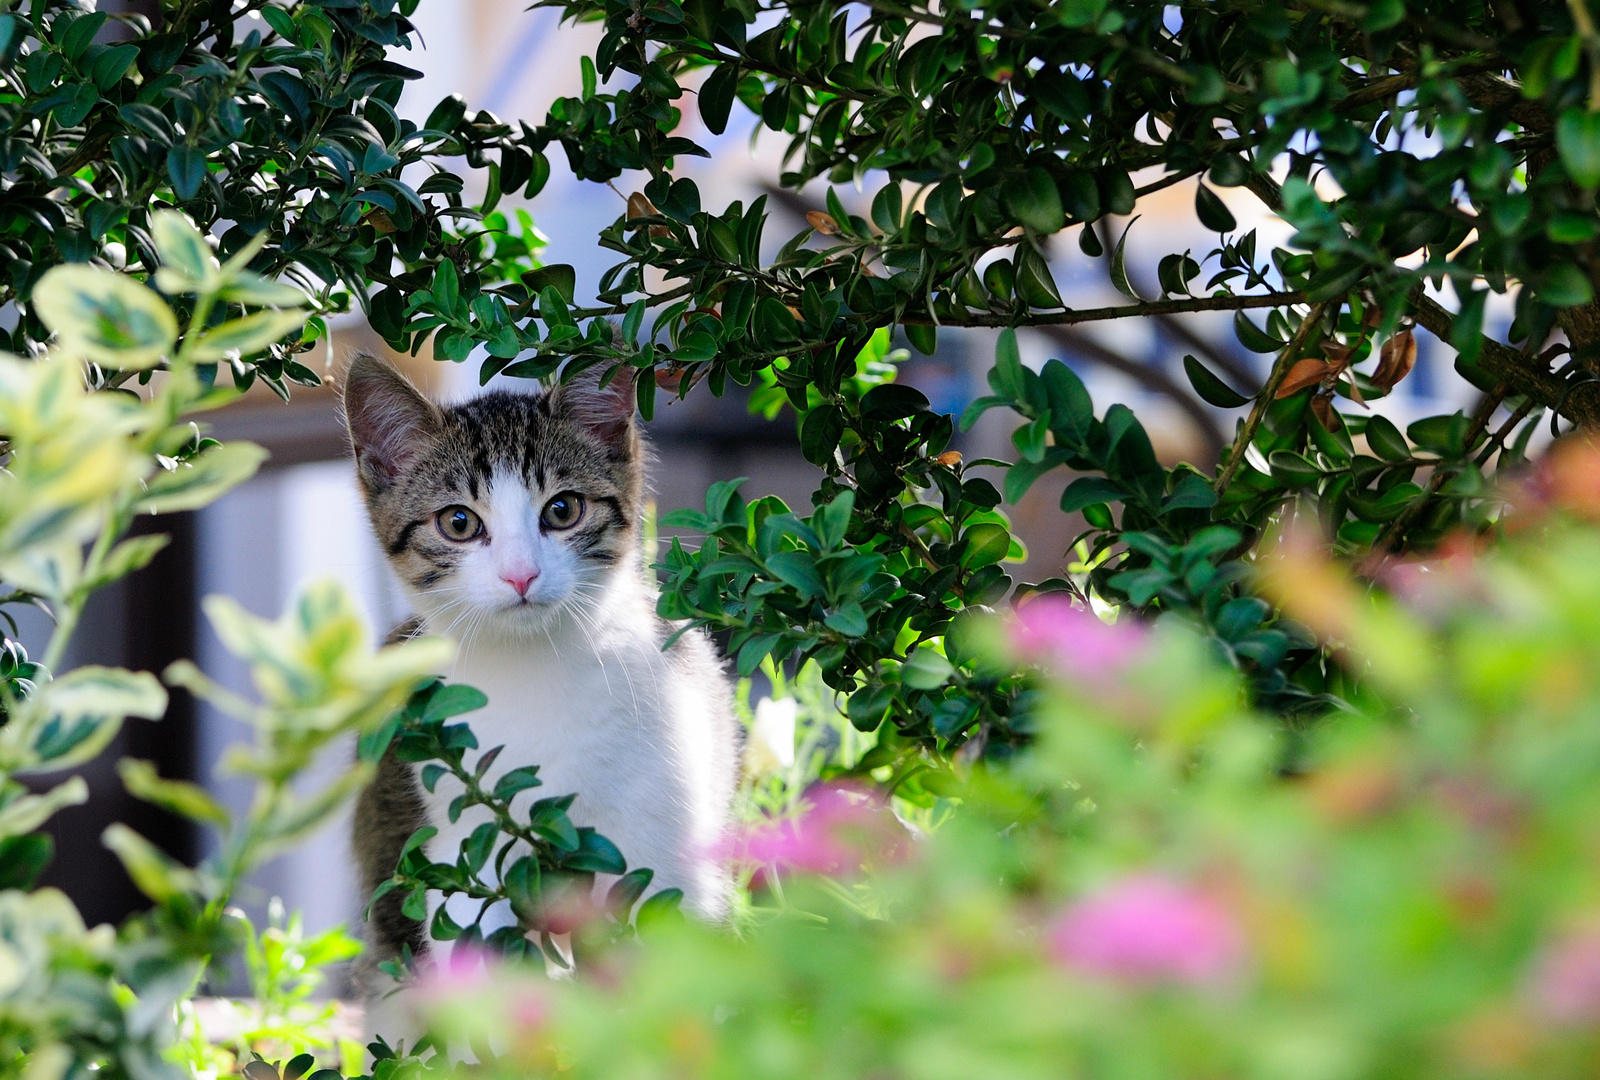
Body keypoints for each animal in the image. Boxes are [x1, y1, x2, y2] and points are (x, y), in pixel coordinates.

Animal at [345, 355, 742, 1030]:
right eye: (458, 522)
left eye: (562, 510)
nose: (521, 574)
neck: (534, 672)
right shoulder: (461, 860)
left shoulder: (662, 851)